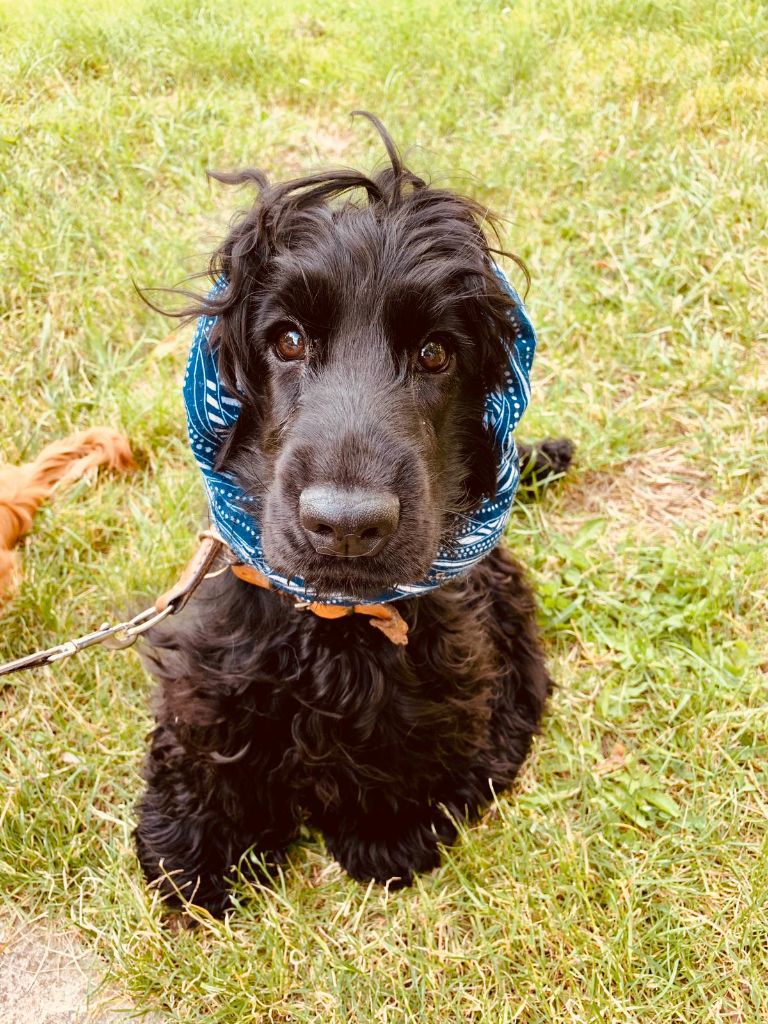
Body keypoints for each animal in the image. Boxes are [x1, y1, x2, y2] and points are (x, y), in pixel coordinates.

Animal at [137, 116, 573, 917]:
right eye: (287, 340)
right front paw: (190, 854)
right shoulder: (209, 659)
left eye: (436, 354)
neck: (332, 624)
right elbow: (201, 739)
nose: (345, 525)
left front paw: (389, 834)